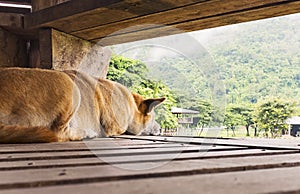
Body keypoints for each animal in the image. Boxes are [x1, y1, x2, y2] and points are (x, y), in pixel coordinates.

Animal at [0, 68, 165, 142]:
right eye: (153, 117)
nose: (161, 129)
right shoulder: (115, 126)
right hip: (70, 86)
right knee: (58, 133)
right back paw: (86, 133)